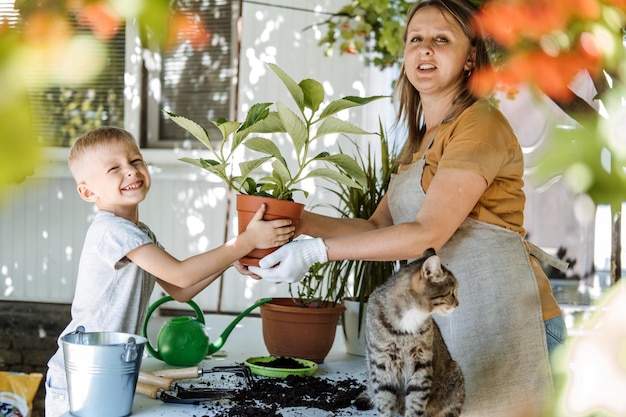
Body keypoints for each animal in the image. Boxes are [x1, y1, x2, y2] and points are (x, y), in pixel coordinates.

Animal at [360, 249, 464, 414]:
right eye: (451, 292)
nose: (458, 304)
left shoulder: (422, 362)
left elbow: (416, 401)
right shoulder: (381, 363)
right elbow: (384, 399)